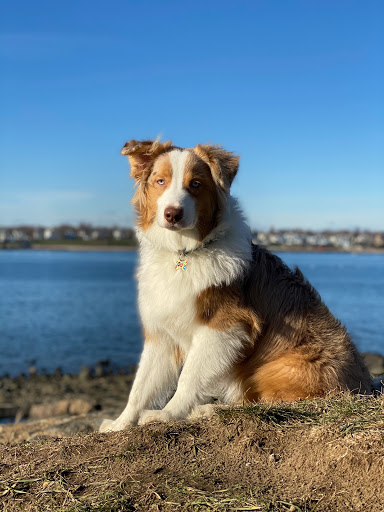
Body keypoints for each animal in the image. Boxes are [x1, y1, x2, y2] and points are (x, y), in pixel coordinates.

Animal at [99, 137, 372, 432]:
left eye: (196, 184)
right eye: (160, 181)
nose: (173, 214)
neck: (186, 253)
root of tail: (366, 384)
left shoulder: (226, 326)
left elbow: (188, 378)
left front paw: (168, 414)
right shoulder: (162, 334)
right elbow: (140, 387)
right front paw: (120, 424)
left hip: (282, 367)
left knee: (265, 404)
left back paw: (207, 410)